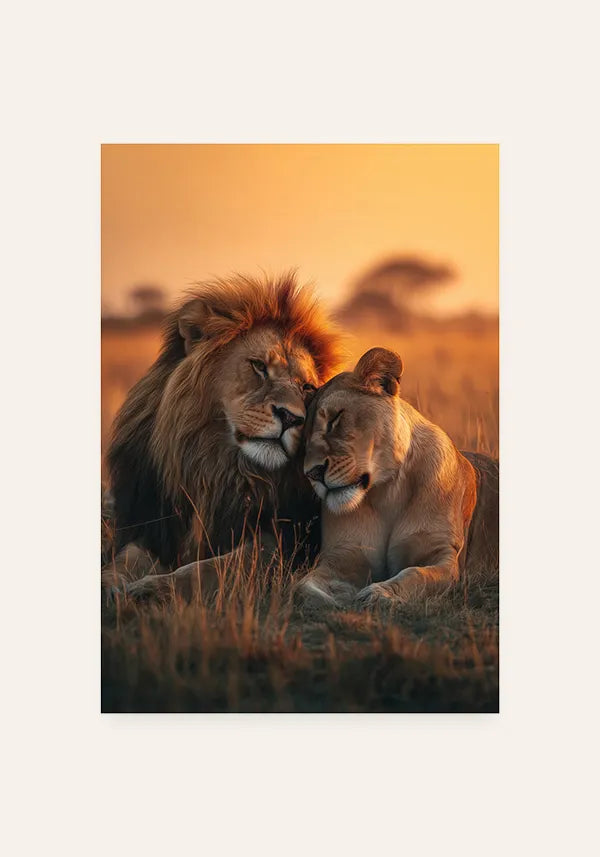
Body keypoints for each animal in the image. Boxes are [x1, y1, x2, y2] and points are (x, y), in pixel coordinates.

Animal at [103, 272, 342, 600]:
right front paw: (107, 585)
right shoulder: (155, 527)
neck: (217, 469)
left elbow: (214, 567)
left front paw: (151, 589)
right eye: (259, 366)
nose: (292, 417)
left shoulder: (286, 540)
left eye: (307, 387)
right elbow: (124, 559)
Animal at [294, 347, 499, 610]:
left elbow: (416, 575)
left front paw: (381, 595)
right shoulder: (343, 555)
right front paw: (335, 603)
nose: (313, 473)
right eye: (303, 439)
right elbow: (302, 587)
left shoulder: (443, 556)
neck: (388, 491)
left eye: (335, 419)